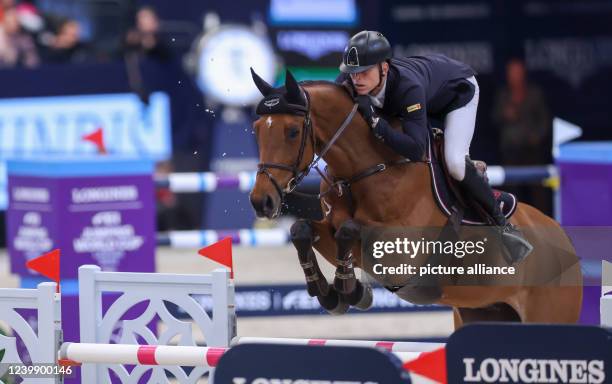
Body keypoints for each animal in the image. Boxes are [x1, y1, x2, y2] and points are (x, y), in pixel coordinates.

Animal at [246, 70, 580, 328]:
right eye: (257, 129)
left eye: (292, 131)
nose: (261, 201)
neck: (371, 169)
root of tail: (566, 243)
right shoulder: (329, 224)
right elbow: (301, 229)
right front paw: (333, 294)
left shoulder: (402, 250)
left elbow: (349, 231)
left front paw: (350, 291)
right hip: (482, 311)